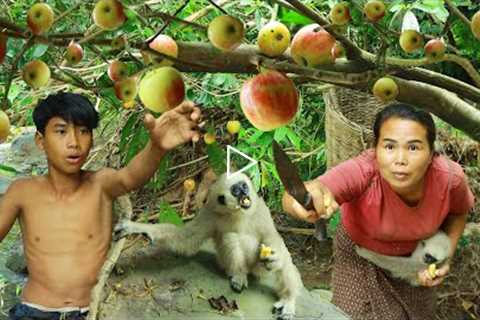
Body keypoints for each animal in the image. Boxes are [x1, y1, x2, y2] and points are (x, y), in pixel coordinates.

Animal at [114, 172, 304, 320]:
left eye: (243, 185)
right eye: (235, 190)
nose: (244, 190)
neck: (238, 213)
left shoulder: (261, 209)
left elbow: (273, 238)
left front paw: (275, 258)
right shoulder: (209, 213)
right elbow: (186, 239)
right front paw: (137, 227)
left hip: (260, 269)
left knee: (285, 263)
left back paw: (288, 301)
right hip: (227, 262)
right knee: (230, 237)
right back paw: (238, 276)